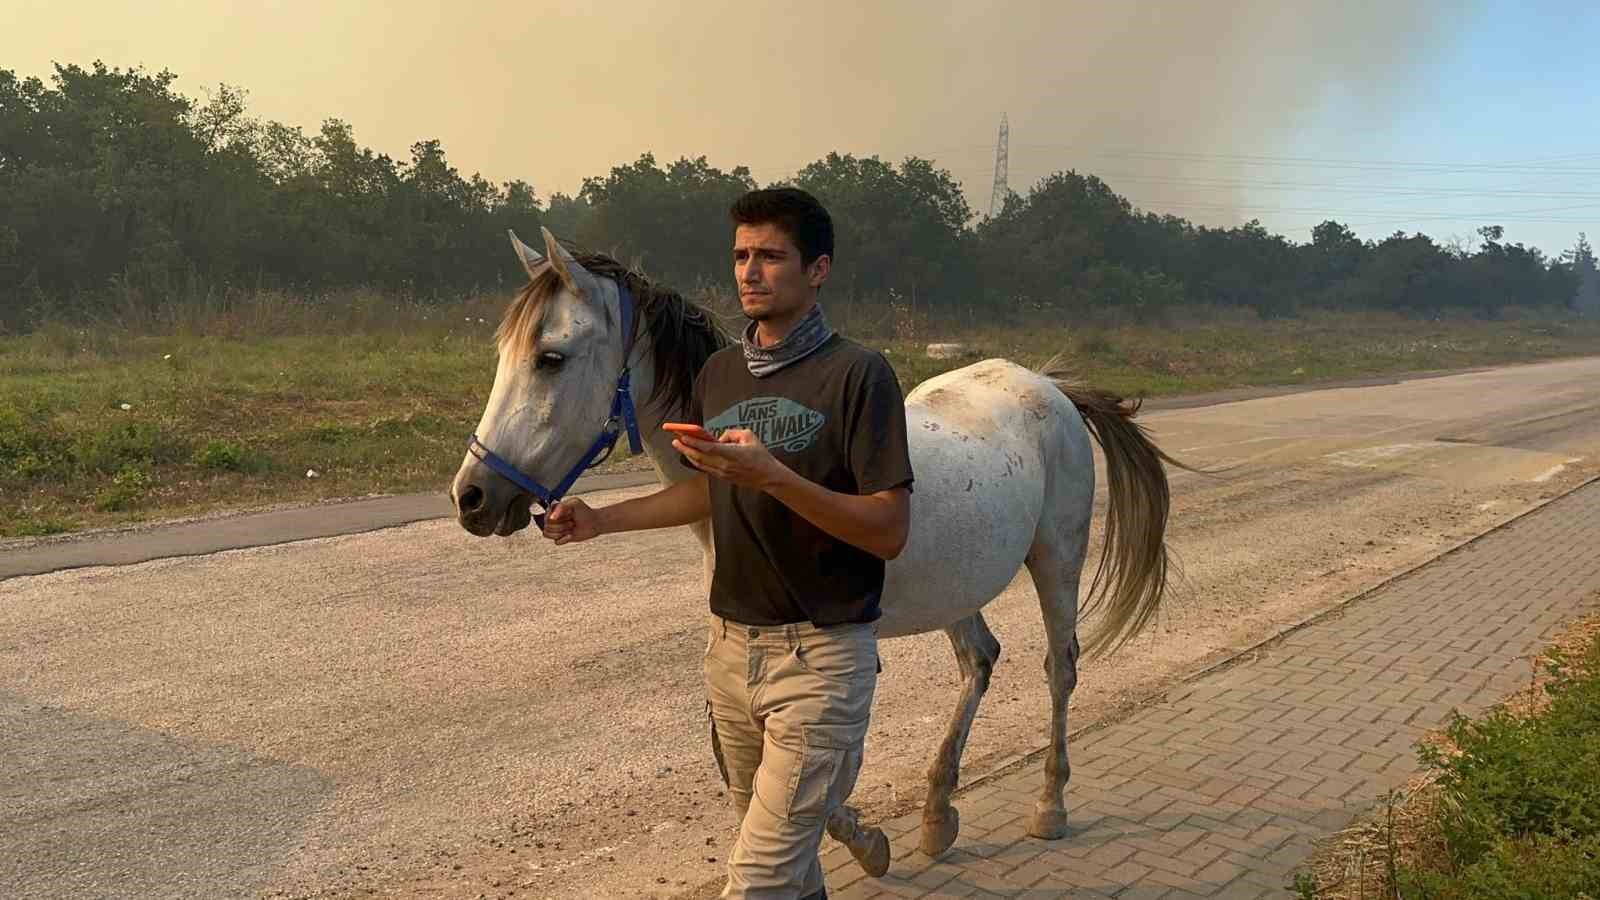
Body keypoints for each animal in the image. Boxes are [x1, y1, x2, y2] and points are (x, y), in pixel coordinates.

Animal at [451, 225, 1190, 877]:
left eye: (550, 357)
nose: (472, 497)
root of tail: (1049, 386)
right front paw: (872, 839)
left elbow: (814, 778)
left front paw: (869, 843)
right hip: (959, 585)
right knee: (980, 662)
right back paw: (937, 813)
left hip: (1057, 560)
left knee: (1059, 669)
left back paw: (1049, 805)